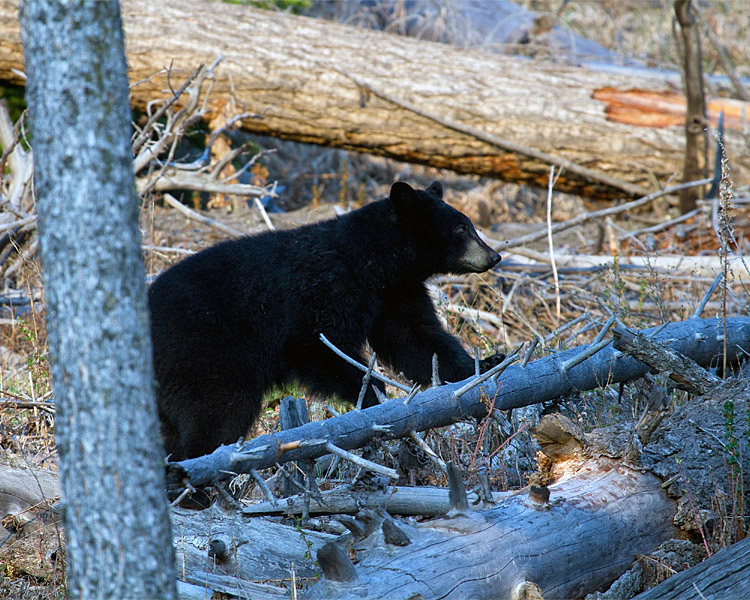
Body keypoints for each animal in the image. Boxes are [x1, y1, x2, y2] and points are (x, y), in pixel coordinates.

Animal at [149, 179, 502, 460]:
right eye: (461, 228)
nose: (494, 256)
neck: (371, 262)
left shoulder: (396, 292)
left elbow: (416, 338)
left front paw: (485, 363)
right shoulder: (325, 289)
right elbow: (319, 345)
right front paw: (373, 397)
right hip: (205, 351)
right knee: (219, 410)